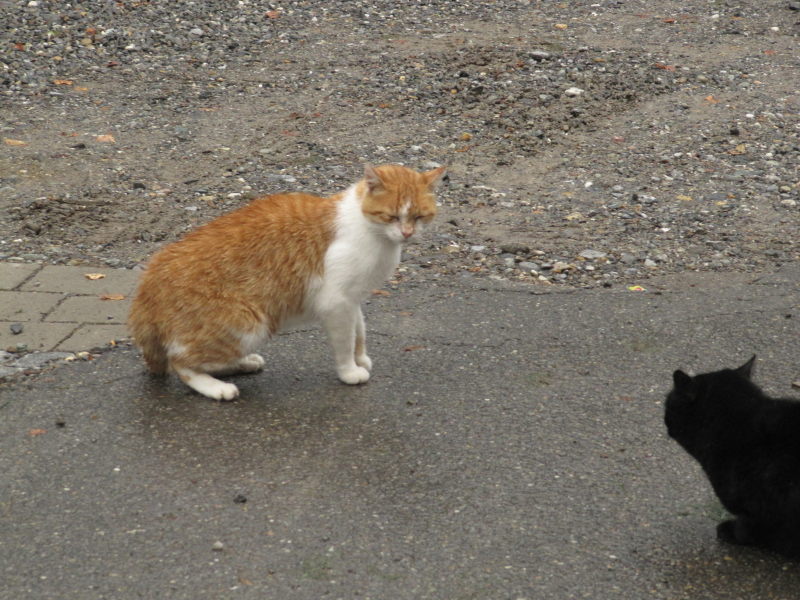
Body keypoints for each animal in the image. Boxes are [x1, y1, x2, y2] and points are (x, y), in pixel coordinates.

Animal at [128, 162, 446, 400]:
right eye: (391, 216)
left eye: (418, 217)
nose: (406, 233)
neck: (374, 235)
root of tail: (148, 280)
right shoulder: (336, 302)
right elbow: (345, 343)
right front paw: (349, 370)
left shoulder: (352, 298)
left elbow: (360, 331)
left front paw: (361, 358)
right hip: (249, 322)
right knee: (181, 363)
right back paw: (216, 387)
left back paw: (242, 363)